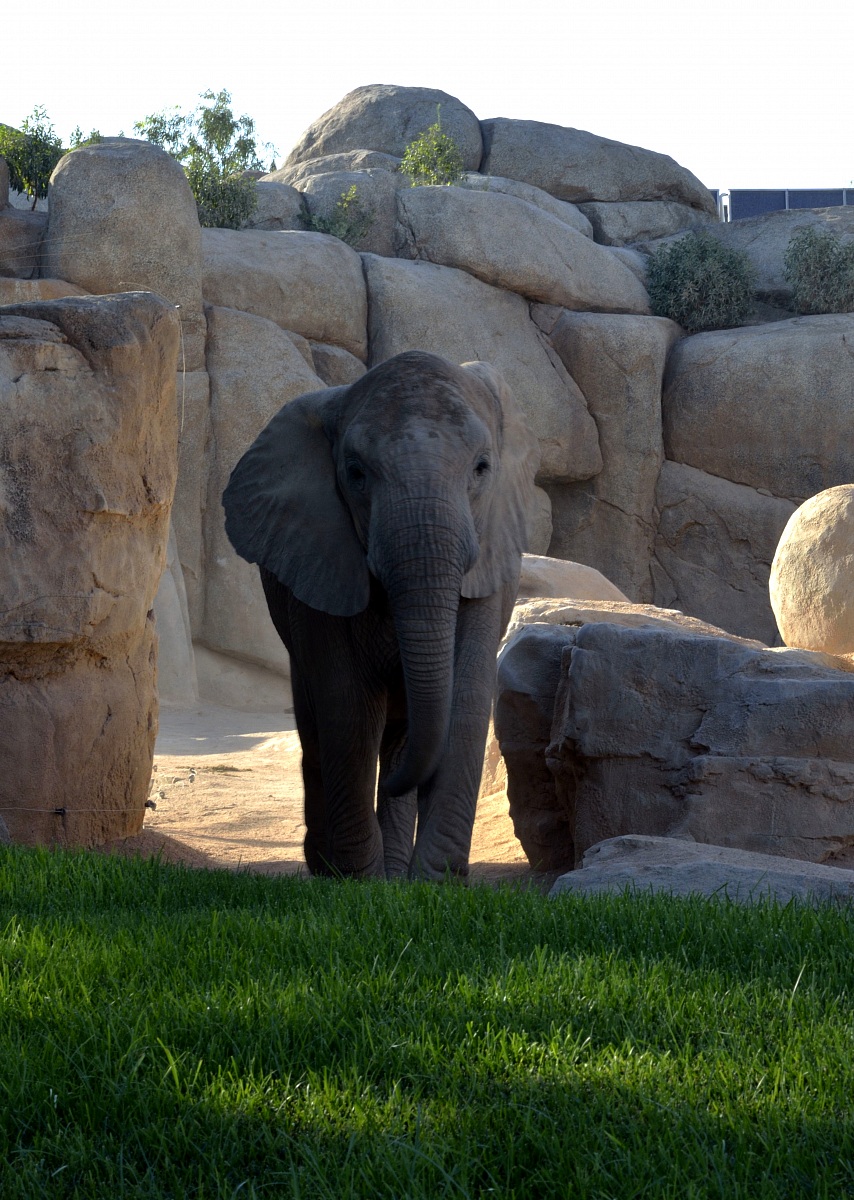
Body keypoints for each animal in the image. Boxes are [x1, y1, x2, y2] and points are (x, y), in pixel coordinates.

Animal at [222, 350, 540, 881]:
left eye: (482, 468)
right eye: (355, 473)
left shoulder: (492, 559)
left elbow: (466, 699)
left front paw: (431, 882)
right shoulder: (320, 562)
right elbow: (348, 707)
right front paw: (359, 883)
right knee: (319, 727)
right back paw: (333, 867)